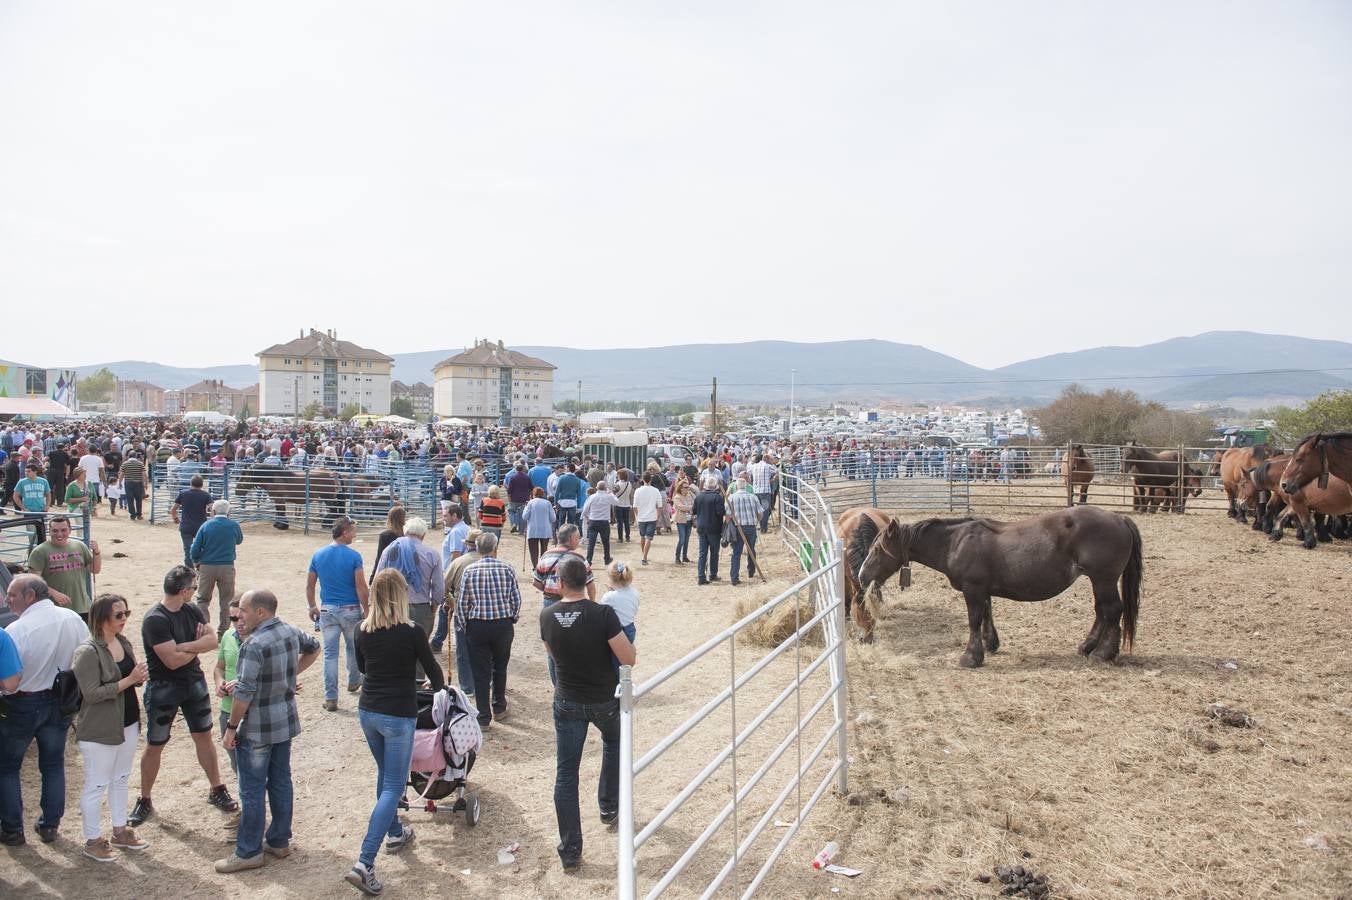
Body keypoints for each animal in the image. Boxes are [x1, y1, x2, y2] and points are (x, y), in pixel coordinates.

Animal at [854, 505, 1141, 664]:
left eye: (878, 549)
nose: (862, 575)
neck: (955, 542)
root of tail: (1118, 518)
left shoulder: (973, 588)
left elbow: (973, 619)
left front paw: (971, 657)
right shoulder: (982, 589)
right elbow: (986, 615)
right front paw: (990, 644)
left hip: (1103, 579)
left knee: (1112, 611)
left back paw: (1103, 653)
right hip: (1098, 580)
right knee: (1102, 612)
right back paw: (1087, 646)